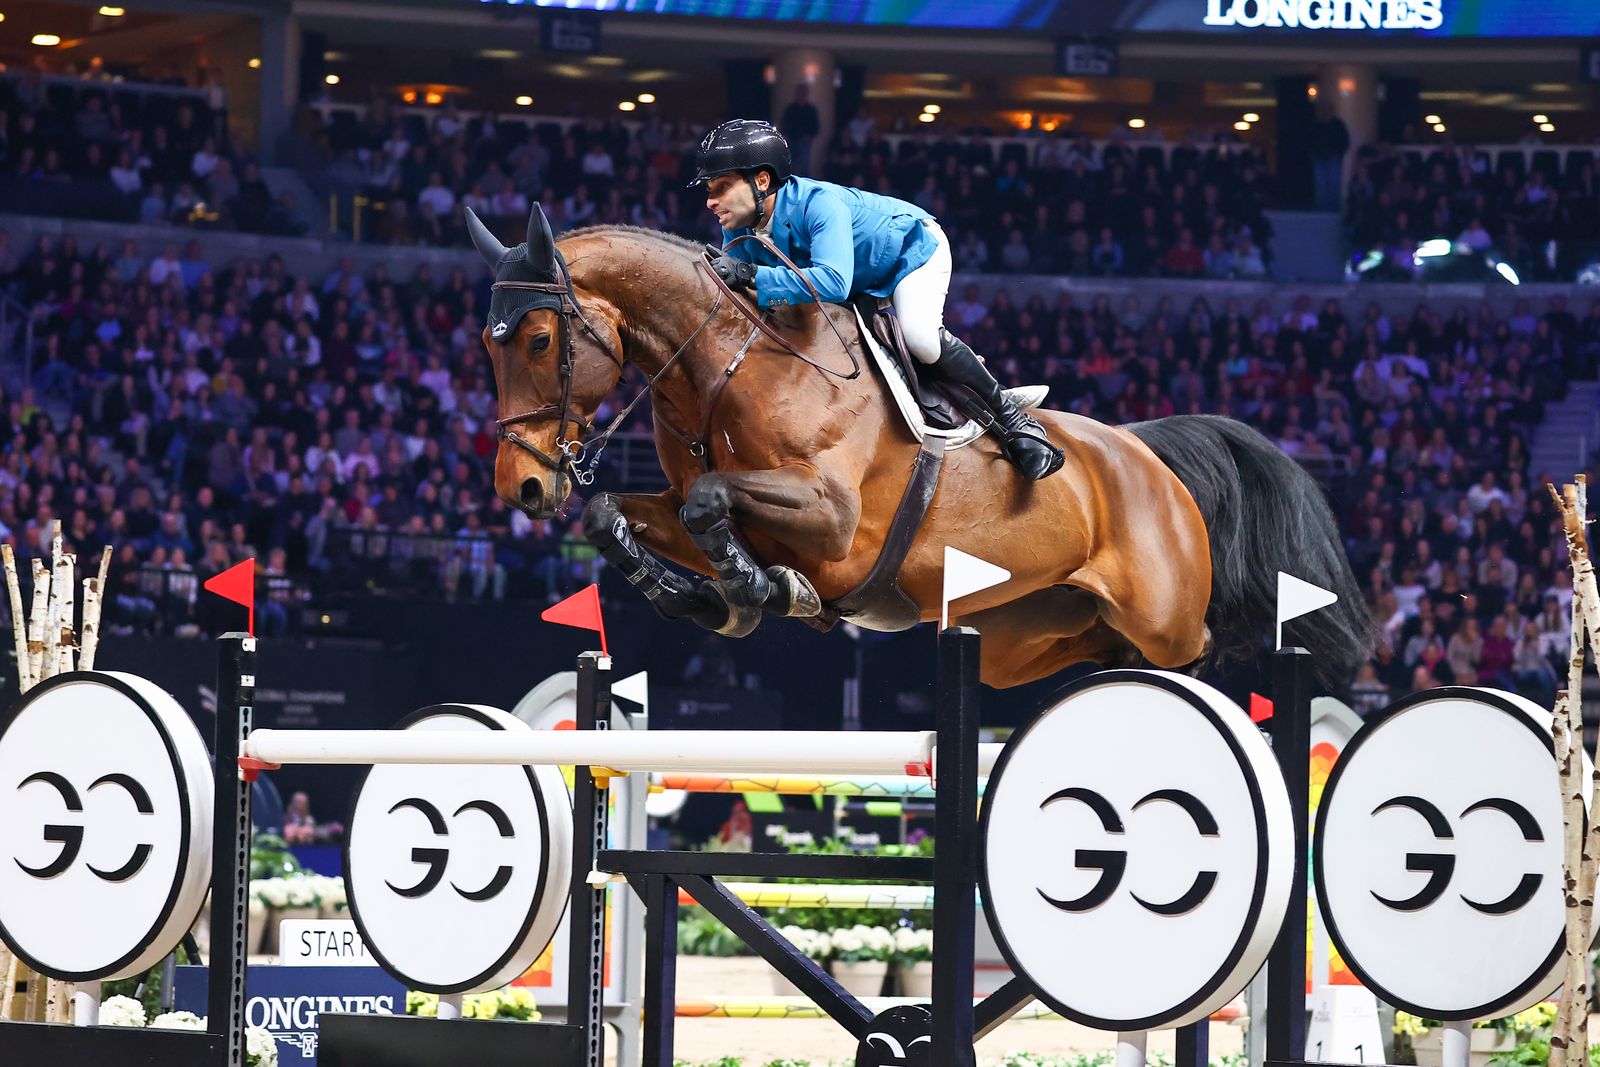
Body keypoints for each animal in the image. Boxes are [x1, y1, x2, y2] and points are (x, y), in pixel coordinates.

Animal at [467, 204, 1370, 690]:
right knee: (1100, 649)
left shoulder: (832, 519)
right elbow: (621, 515)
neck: (724, 361)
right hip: (1024, 635)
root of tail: (1145, 451)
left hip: (1166, 616)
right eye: (487, 344)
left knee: (1204, 644)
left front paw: (760, 588)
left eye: (540, 340)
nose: (522, 488)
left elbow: (707, 501)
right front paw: (702, 596)